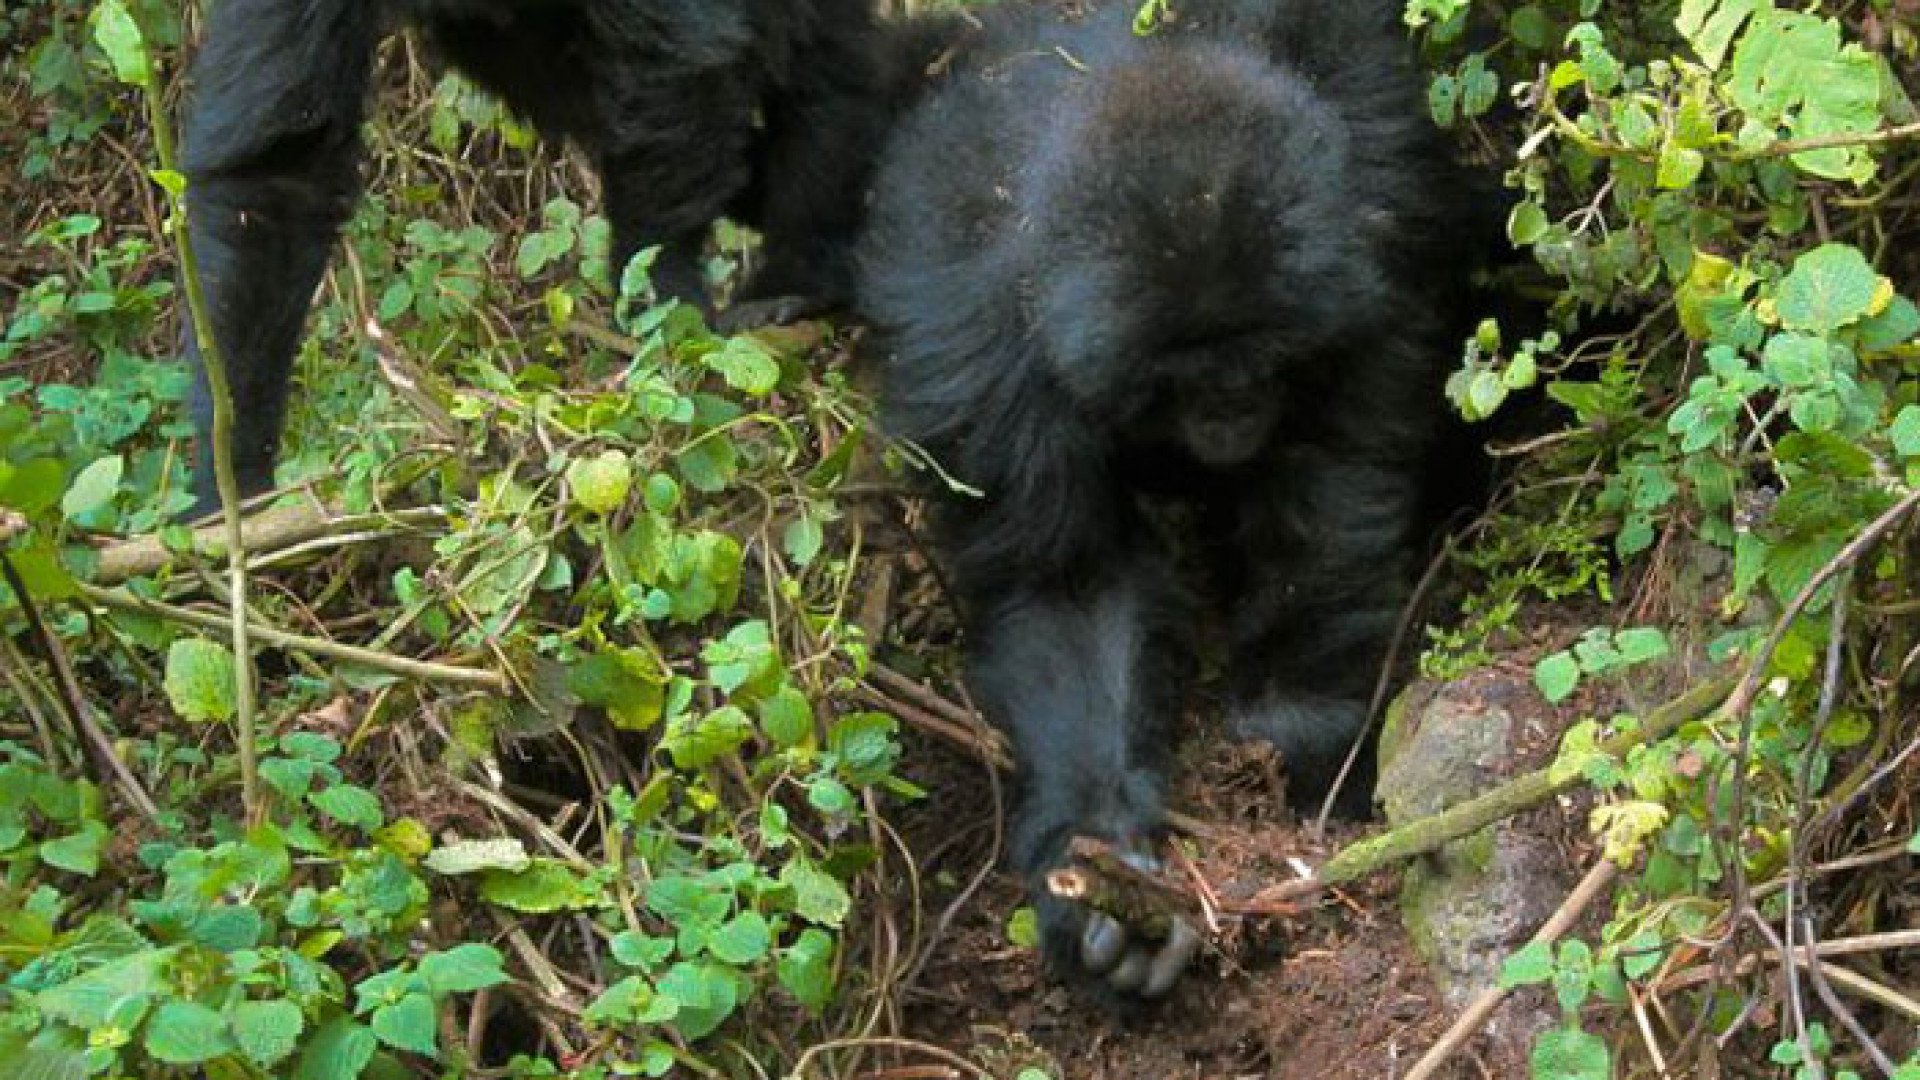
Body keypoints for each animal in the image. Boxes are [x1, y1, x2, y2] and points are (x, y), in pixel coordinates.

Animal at [180, 0, 898, 518]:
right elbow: (278, 175)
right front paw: (231, 484)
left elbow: (675, 52)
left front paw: (662, 304)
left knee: (818, 63)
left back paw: (800, 271)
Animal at [860, 0, 1497, 999]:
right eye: (1182, 375)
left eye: (1259, 359)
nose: (1232, 408)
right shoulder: (984, 342)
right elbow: (1069, 589)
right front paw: (1097, 860)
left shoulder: (1364, 241)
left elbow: (1332, 488)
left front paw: (1301, 739)